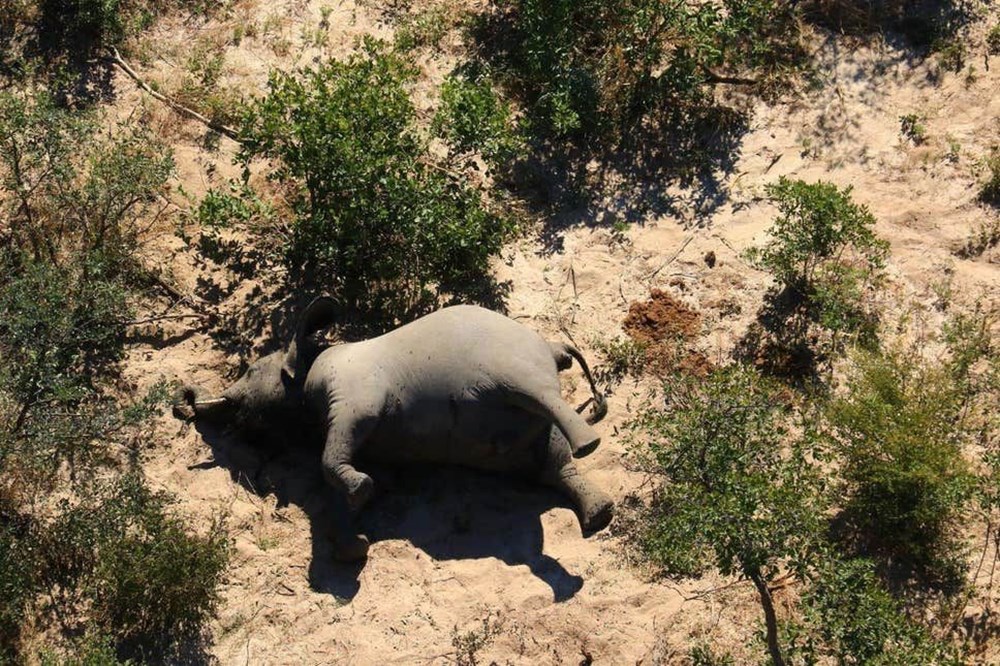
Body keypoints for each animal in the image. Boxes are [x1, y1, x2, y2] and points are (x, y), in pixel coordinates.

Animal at [179, 296, 612, 560]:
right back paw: (600, 516)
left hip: (515, 365)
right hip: (520, 436)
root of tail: (553, 347)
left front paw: (360, 494)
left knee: (540, 398)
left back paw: (589, 446)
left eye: (251, 371)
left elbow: (334, 453)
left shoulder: (354, 393)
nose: (183, 400)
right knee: (552, 464)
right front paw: (354, 543)